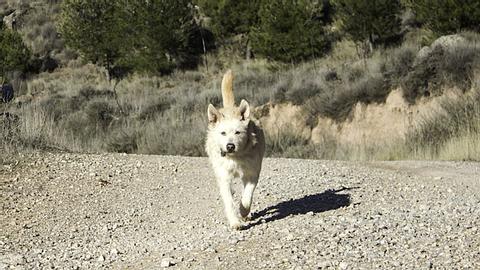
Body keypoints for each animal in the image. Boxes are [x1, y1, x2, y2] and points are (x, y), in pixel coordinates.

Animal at [205, 69, 266, 230]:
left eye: (238, 132)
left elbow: (247, 196)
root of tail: (230, 108)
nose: (230, 146)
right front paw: (235, 221)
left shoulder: (252, 173)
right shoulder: (224, 177)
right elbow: (229, 201)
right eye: (223, 133)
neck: (236, 157)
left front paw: (244, 211)